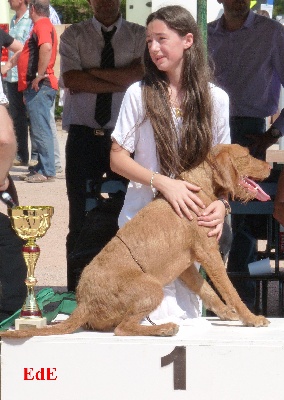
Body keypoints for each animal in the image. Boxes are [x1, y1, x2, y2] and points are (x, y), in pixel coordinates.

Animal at [2, 144, 272, 338]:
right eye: (247, 155)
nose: (270, 165)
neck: (201, 186)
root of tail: (84, 303)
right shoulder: (209, 253)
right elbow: (230, 290)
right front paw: (251, 318)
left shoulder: (187, 267)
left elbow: (208, 291)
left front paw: (227, 313)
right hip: (152, 288)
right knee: (122, 329)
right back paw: (163, 329)